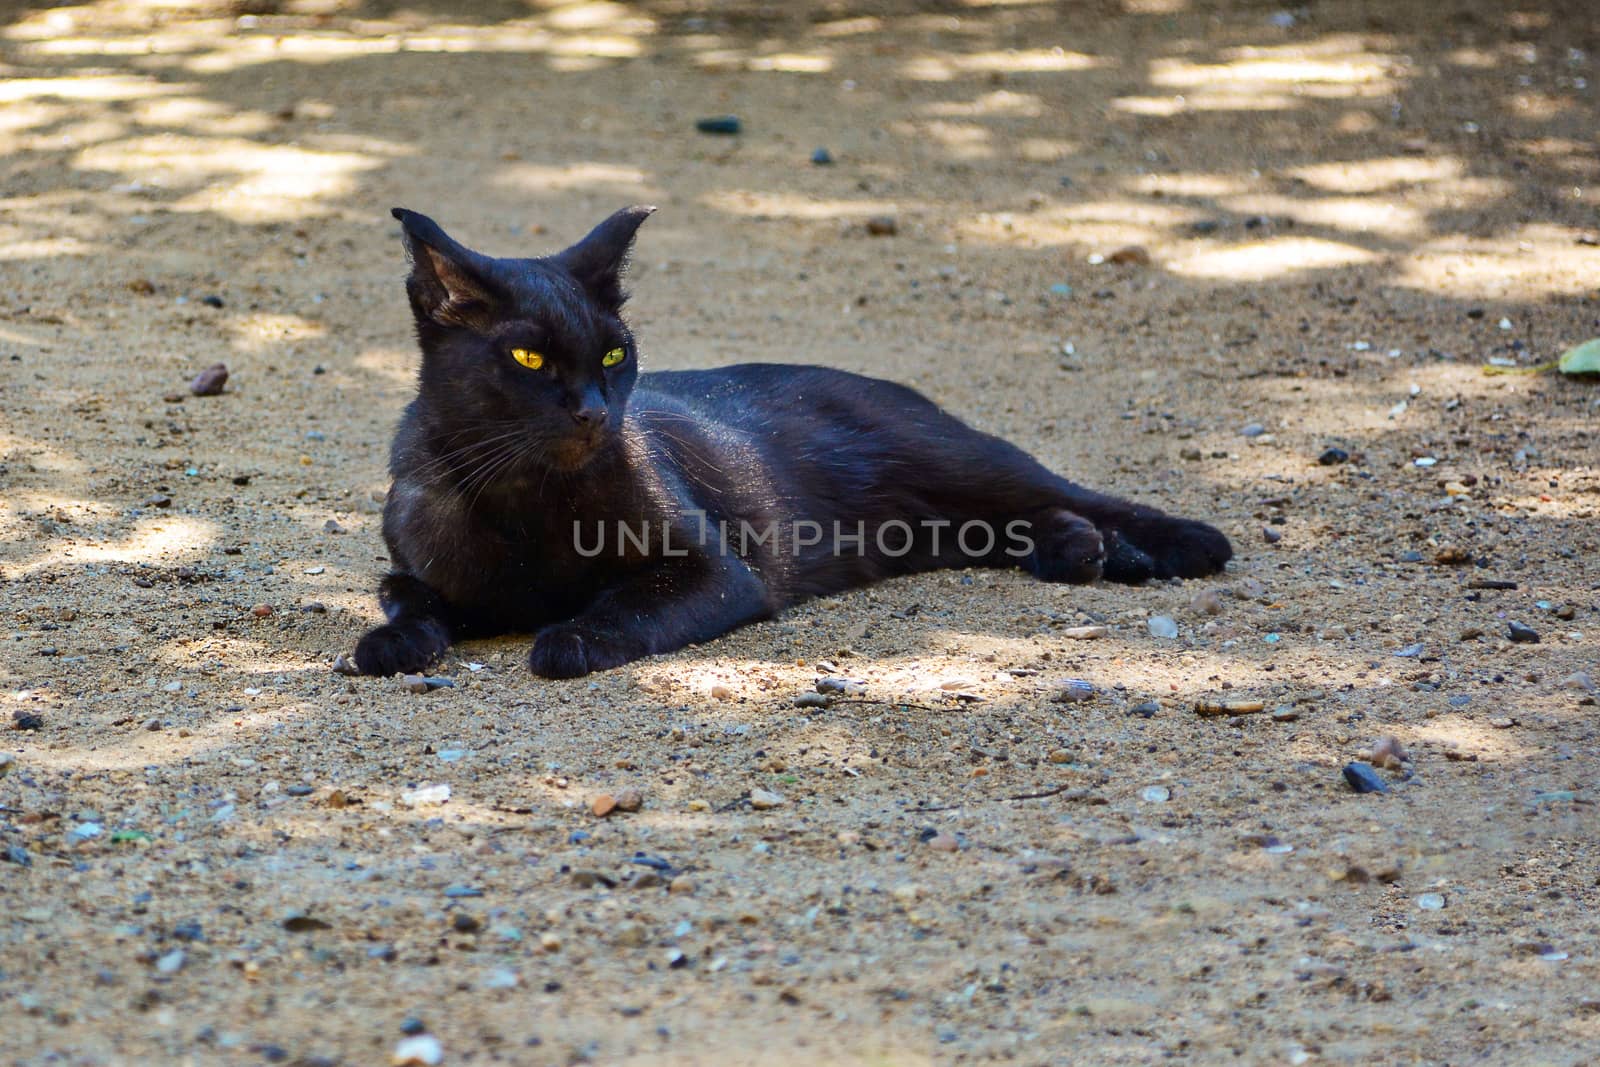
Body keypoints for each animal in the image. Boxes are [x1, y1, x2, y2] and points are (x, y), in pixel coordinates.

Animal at [356, 204, 1228, 681]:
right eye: (530, 359)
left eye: (612, 354)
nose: (596, 411)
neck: (527, 504)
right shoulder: (415, 564)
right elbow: (408, 596)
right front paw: (389, 641)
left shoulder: (714, 570)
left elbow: (621, 606)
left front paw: (568, 635)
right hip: (926, 523)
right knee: (1006, 525)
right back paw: (1083, 551)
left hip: (962, 460)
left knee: (1066, 492)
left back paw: (1171, 543)